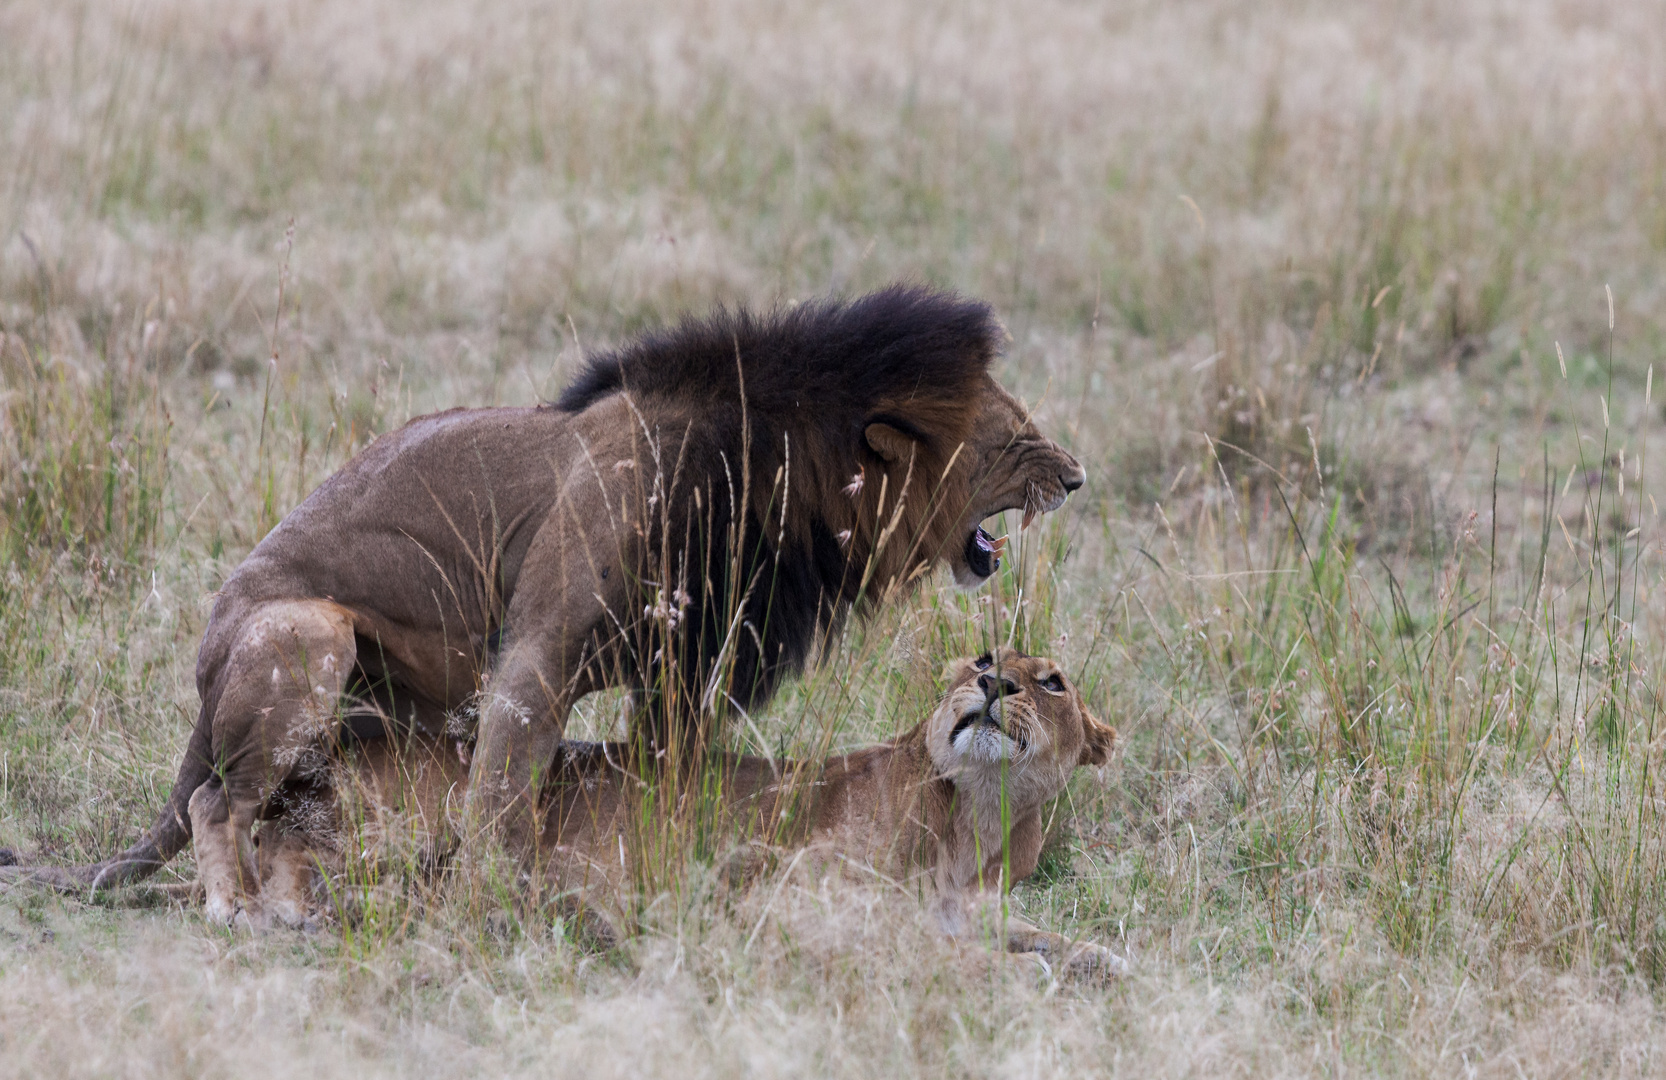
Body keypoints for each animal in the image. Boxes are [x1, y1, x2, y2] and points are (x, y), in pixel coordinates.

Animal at [0, 283, 1092, 926]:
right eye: (1011, 436)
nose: (1079, 477)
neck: (770, 479)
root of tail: (204, 665)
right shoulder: (537, 656)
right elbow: (500, 797)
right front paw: (488, 908)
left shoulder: (686, 675)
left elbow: (660, 784)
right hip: (304, 634)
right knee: (217, 796)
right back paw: (235, 905)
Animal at [259, 650, 1126, 980]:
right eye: (981, 659)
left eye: (1051, 680)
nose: (994, 685)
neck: (975, 818)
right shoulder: (776, 902)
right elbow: (921, 952)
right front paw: (1025, 976)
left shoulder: (969, 905)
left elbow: (1030, 931)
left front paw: (1102, 958)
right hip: (436, 802)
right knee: (293, 859)